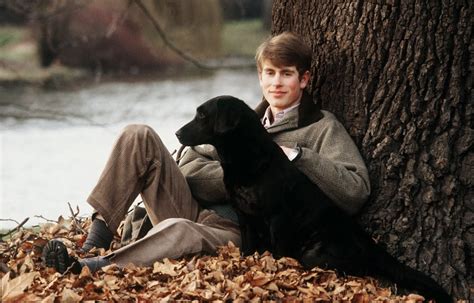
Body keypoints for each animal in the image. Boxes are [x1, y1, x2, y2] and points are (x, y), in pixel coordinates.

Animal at [175, 96, 452, 302]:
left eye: (202, 115)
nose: (176, 133)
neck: (248, 160)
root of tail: (371, 244)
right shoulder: (244, 216)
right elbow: (248, 246)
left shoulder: (278, 217)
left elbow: (278, 252)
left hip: (317, 251)